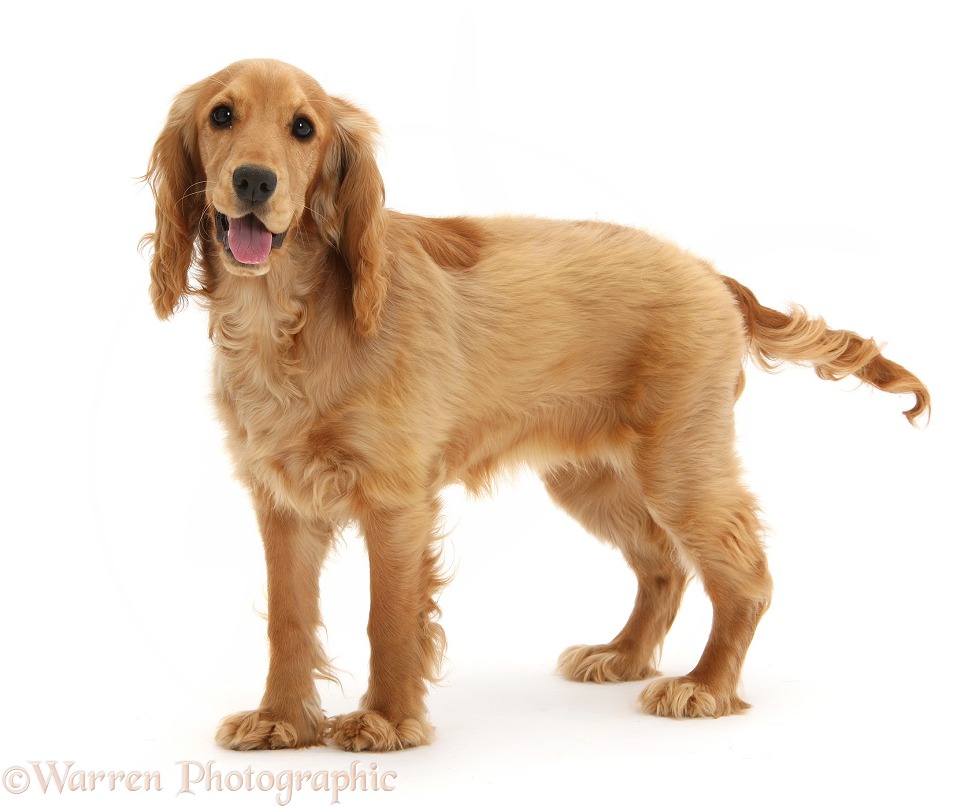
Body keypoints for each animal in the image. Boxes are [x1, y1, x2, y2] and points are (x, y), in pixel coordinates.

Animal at [142, 56, 928, 752]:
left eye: (303, 128)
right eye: (222, 116)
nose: (254, 180)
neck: (288, 317)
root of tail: (711, 274)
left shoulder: (395, 501)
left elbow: (387, 617)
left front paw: (387, 721)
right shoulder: (282, 501)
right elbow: (289, 619)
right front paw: (281, 719)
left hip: (682, 465)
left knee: (746, 574)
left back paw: (704, 685)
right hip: (591, 478)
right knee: (663, 564)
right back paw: (623, 654)